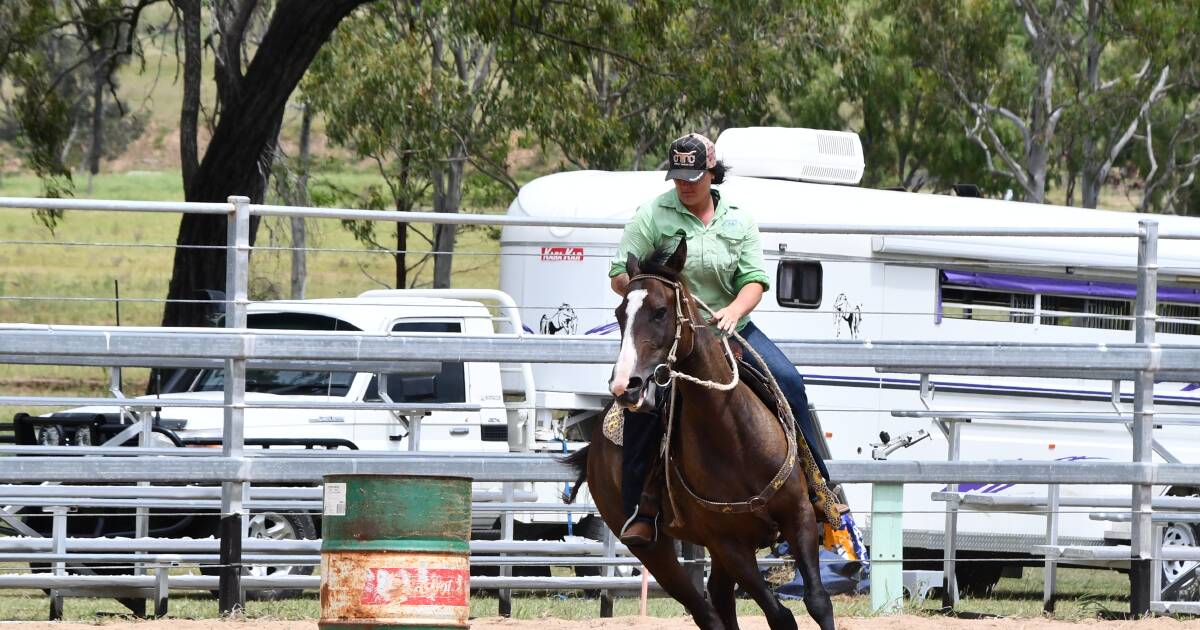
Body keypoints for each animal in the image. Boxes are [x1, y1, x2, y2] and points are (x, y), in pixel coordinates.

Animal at [564, 241, 835, 628]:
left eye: (660, 312)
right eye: (619, 314)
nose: (625, 385)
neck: (736, 438)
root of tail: (593, 449)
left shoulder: (799, 516)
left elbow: (817, 601)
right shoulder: (727, 543)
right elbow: (779, 615)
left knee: (719, 599)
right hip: (653, 550)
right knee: (706, 610)